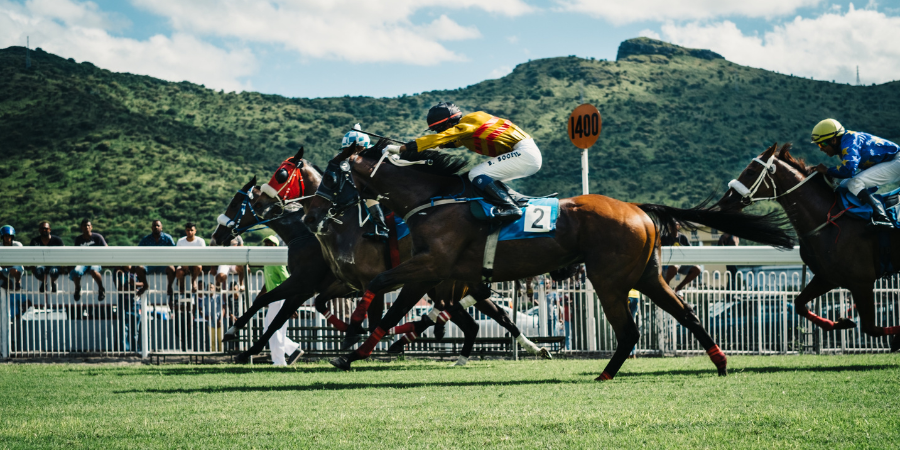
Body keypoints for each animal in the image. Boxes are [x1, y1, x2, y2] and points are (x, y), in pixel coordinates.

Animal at [304, 141, 795, 378]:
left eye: (332, 174)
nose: (316, 211)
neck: (434, 199)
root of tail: (637, 209)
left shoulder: (429, 268)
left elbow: (376, 290)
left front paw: (349, 337)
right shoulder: (436, 275)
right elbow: (394, 311)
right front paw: (350, 352)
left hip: (608, 278)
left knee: (631, 330)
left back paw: (606, 374)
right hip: (647, 276)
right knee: (686, 314)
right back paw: (720, 362)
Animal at [715, 143, 900, 352]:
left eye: (750, 171)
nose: (725, 201)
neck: (829, 221)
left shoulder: (862, 281)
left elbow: (870, 328)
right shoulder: (827, 277)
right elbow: (799, 304)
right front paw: (841, 322)